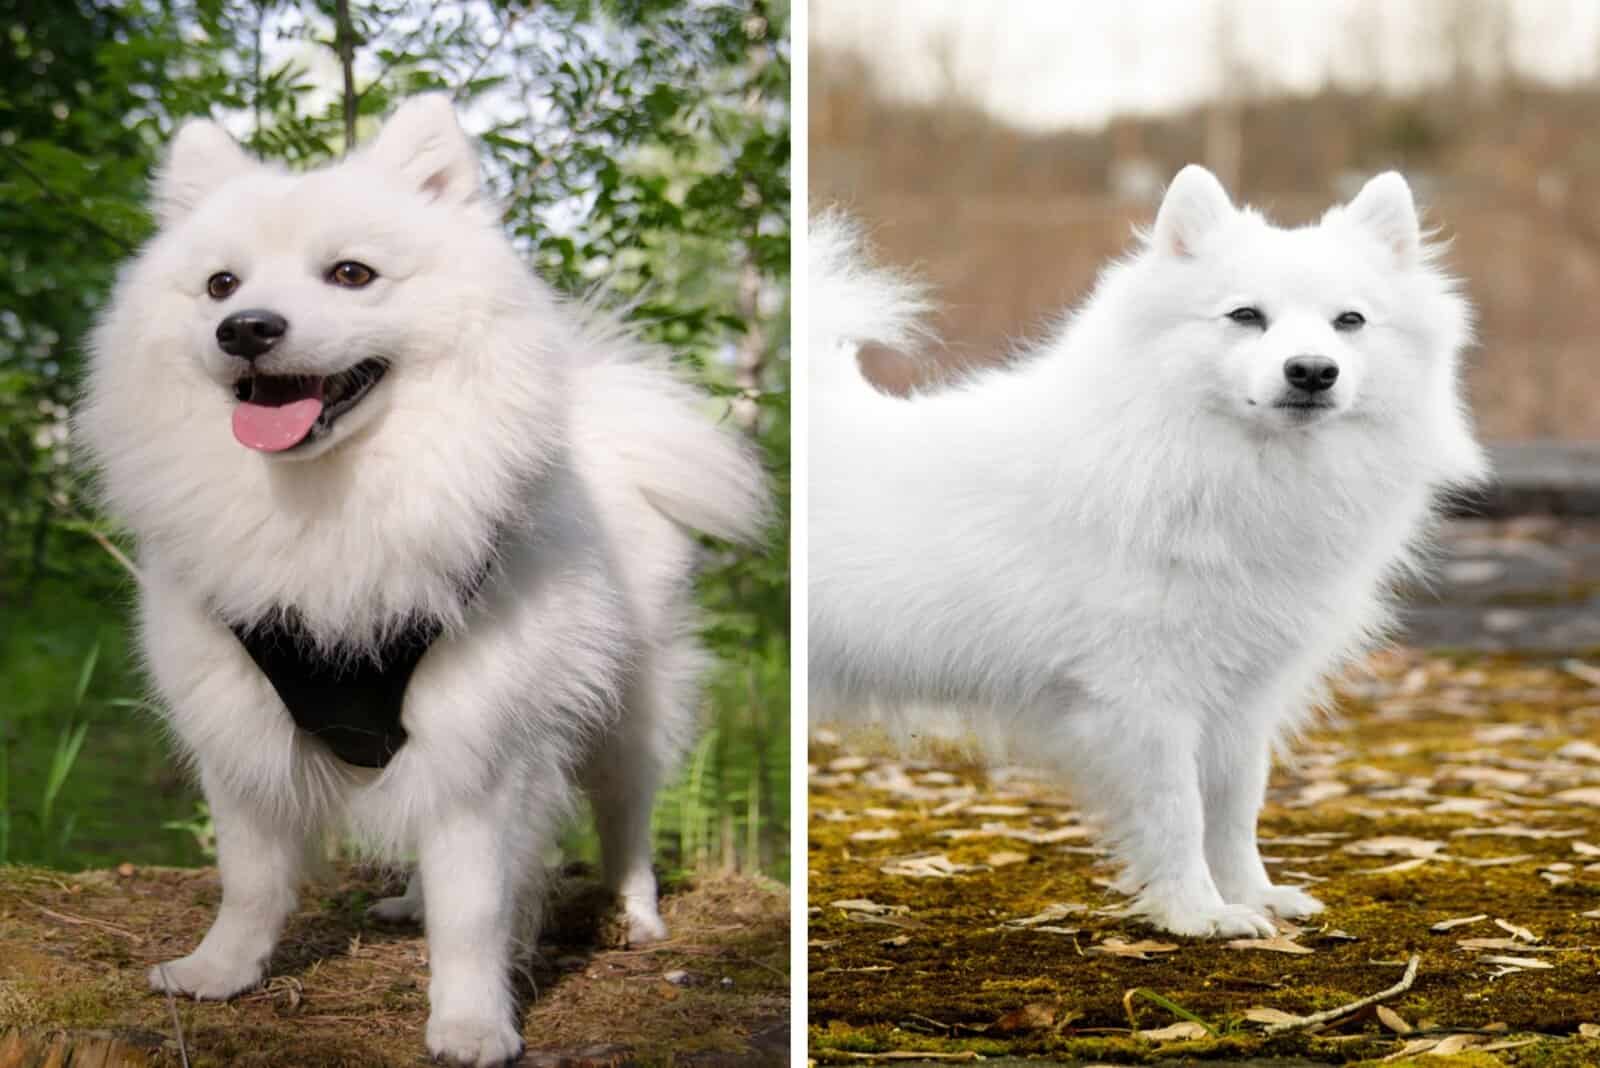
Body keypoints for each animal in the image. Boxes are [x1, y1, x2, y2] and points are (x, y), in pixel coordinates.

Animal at [81, 95, 768, 1061]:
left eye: (351, 274)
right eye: (219, 286)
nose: (246, 328)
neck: (330, 507)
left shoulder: (483, 741)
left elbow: (476, 908)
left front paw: (472, 1023)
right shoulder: (239, 724)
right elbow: (249, 878)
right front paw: (220, 971)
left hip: (630, 711)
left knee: (625, 816)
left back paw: (635, 915)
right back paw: (409, 900)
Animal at [812, 164, 1484, 933]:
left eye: (1350, 321)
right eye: (1245, 316)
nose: (1313, 370)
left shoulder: (1241, 699)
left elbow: (1234, 809)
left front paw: (1252, 895)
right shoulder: (1146, 696)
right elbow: (1178, 813)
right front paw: (1199, 913)